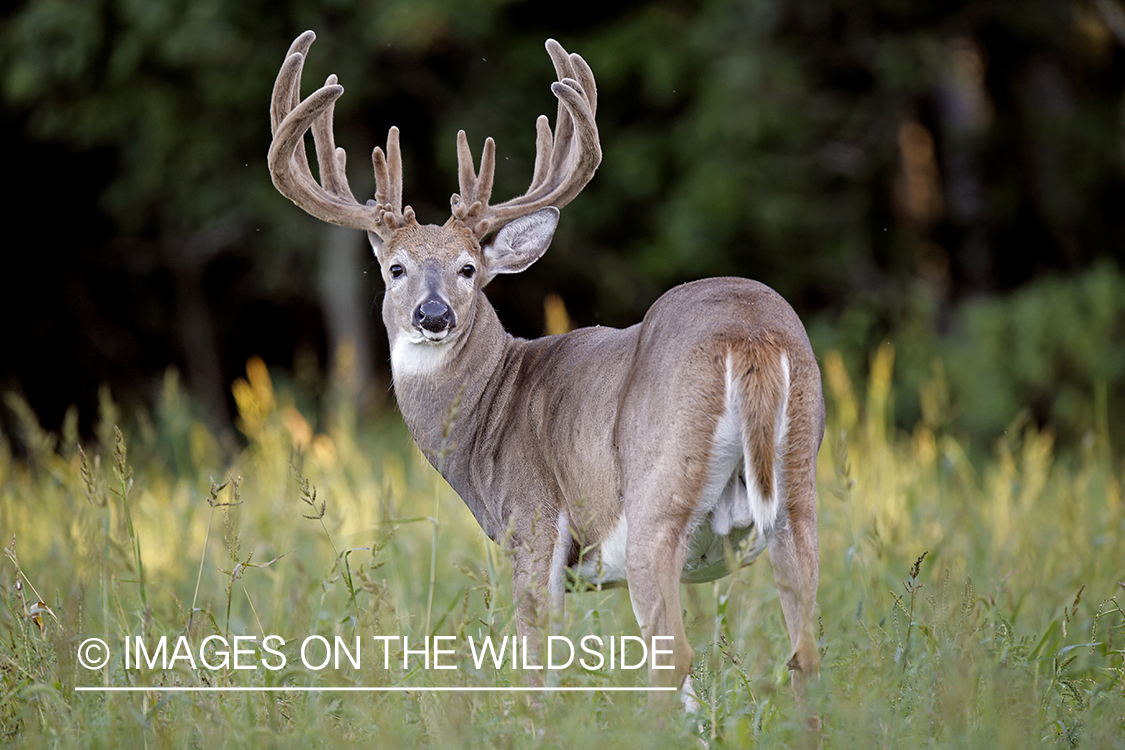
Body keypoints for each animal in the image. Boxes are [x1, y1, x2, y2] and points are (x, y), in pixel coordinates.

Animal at [267, 32, 823, 719]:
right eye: (396, 269)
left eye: (469, 268)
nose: (434, 315)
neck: (488, 412)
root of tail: (751, 337)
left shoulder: (532, 524)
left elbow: (536, 676)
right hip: (799, 487)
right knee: (803, 655)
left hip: (656, 496)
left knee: (674, 659)